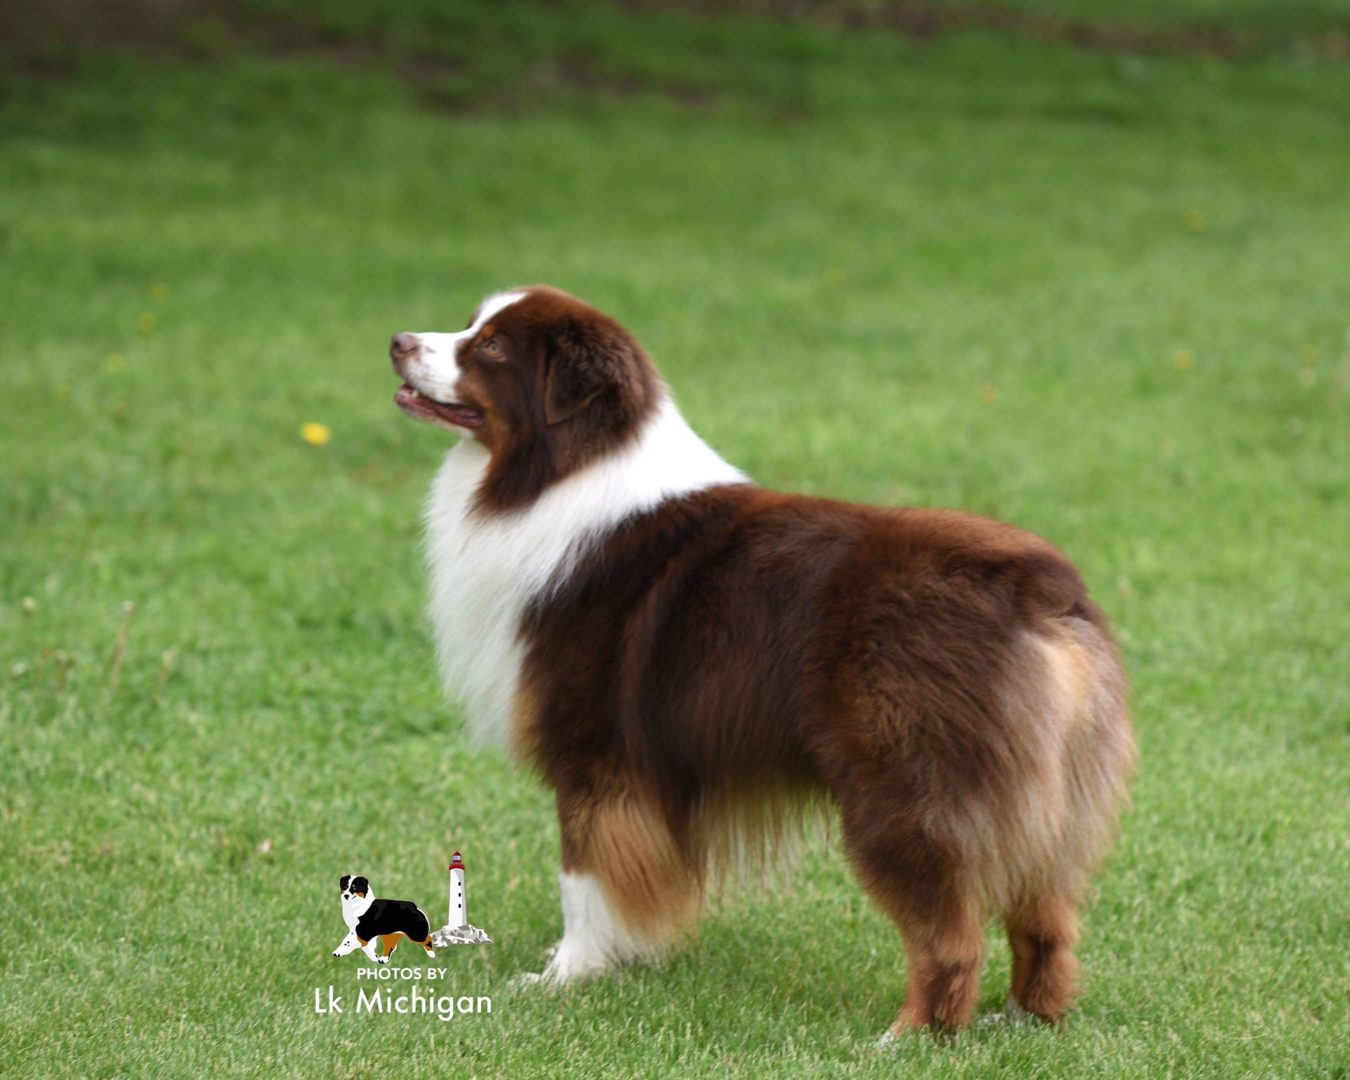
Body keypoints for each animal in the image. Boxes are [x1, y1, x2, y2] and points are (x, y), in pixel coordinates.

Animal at [388, 286, 1128, 1036]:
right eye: (471, 323)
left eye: (492, 348)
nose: (397, 341)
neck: (559, 471)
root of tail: (1033, 586)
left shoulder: (593, 755)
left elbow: (582, 878)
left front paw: (564, 978)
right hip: (1047, 802)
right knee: (1047, 920)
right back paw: (1024, 1021)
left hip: (907, 794)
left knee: (950, 937)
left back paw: (907, 1038)